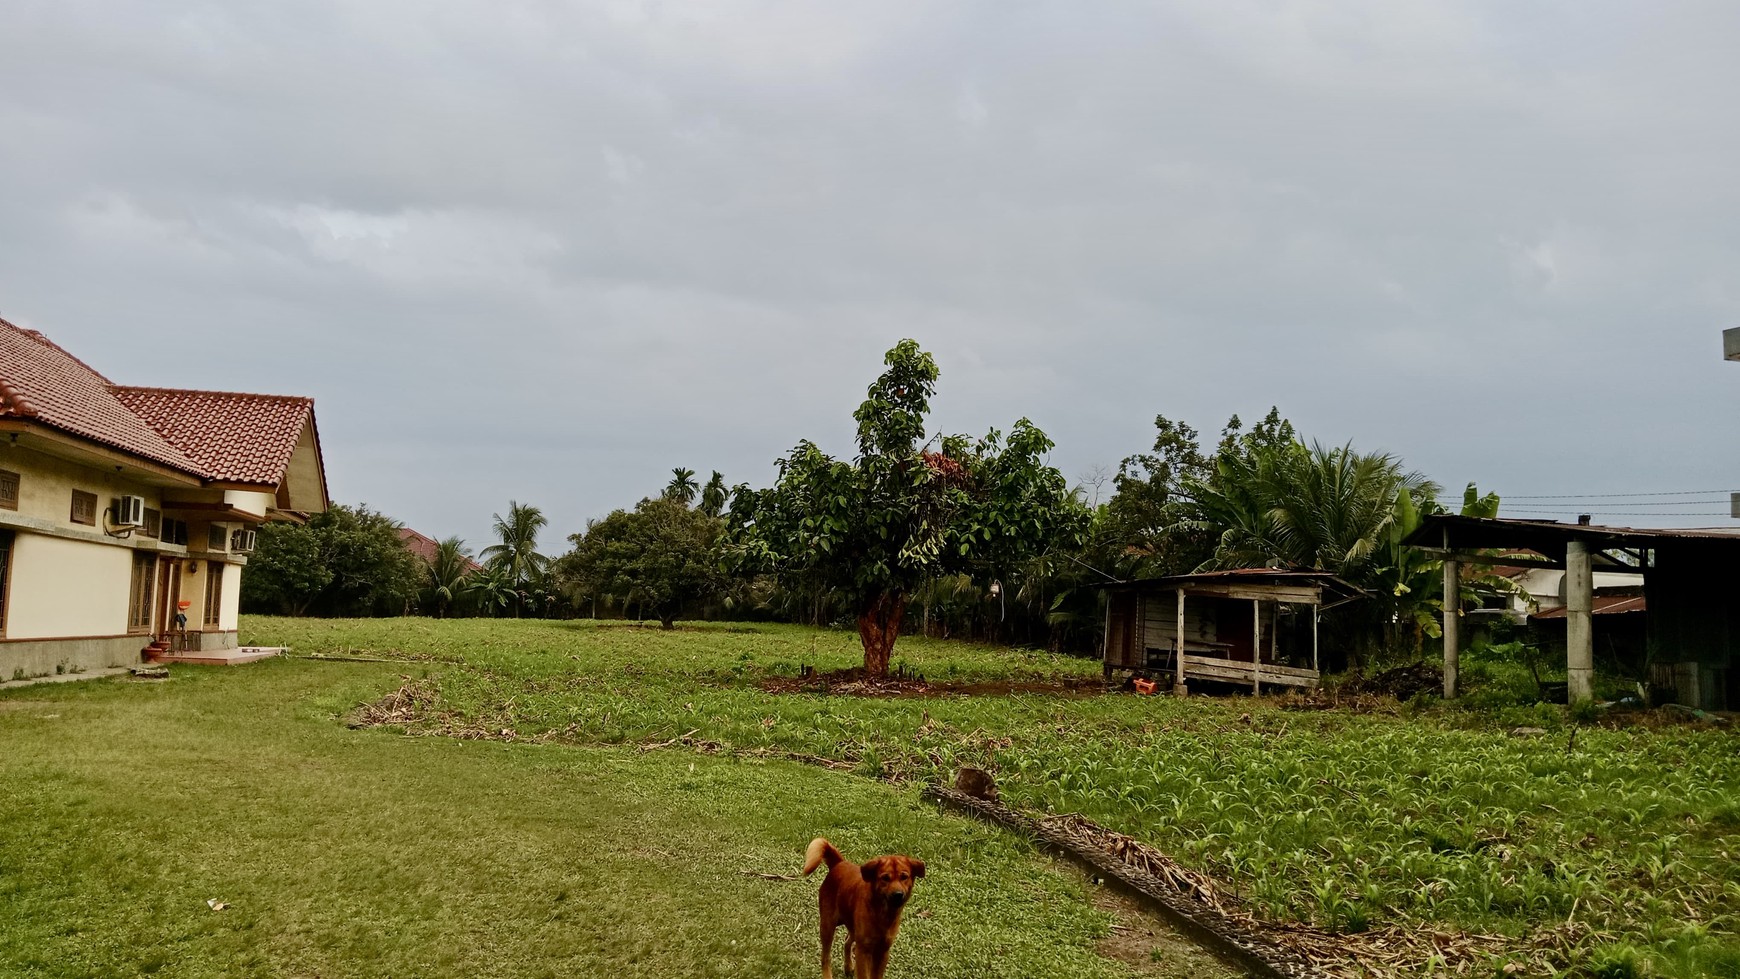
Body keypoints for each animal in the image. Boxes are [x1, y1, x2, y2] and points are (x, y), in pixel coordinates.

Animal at [800, 834, 925, 979]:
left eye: (904, 877)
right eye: (885, 878)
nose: (898, 895)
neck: (883, 914)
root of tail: (838, 863)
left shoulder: (882, 951)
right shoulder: (864, 950)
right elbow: (864, 974)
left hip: (853, 928)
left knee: (847, 941)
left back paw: (848, 967)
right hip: (827, 926)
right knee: (826, 957)